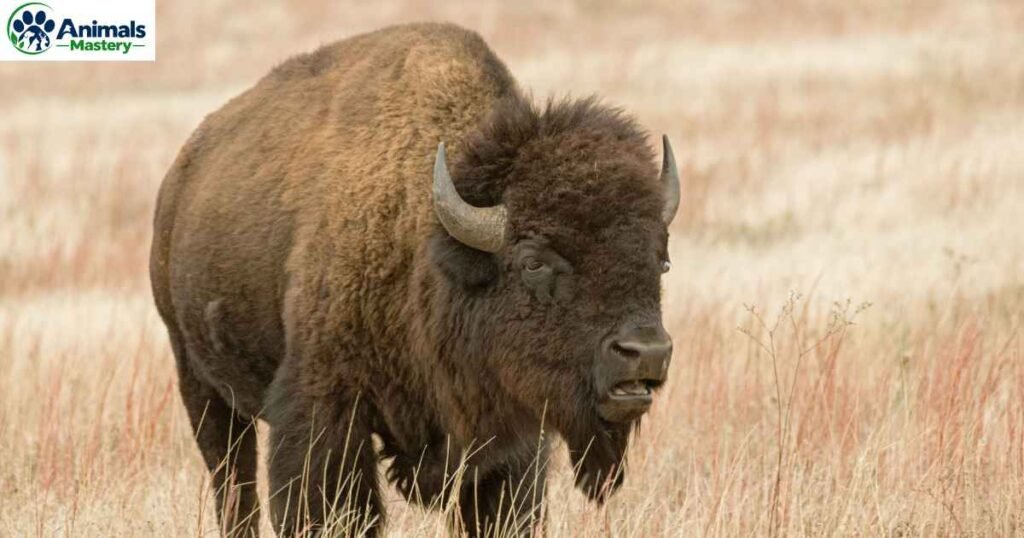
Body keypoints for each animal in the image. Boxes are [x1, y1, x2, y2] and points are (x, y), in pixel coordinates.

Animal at [150, 22, 678, 537]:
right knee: (232, 481)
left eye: (661, 260)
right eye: (533, 261)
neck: (429, 248)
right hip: (200, 383)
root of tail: (180, 173)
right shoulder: (326, 410)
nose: (646, 352)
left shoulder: (511, 441)